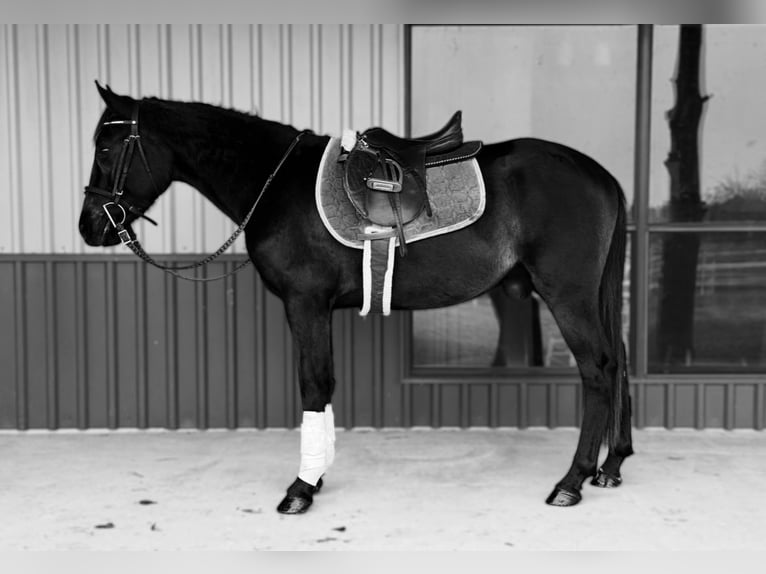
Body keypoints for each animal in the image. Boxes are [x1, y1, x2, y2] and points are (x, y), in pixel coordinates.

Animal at [79, 82, 633, 514]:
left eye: (106, 149)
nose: (89, 228)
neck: (275, 181)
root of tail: (600, 173)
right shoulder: (316, 307)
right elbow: (324, 384)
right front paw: (318, 474)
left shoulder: (304, 302)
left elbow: (312, 385)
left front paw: (301, 488)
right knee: (619, 362)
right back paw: (612, 465)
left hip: (568, 295)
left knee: (598, 370)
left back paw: (572, 481)